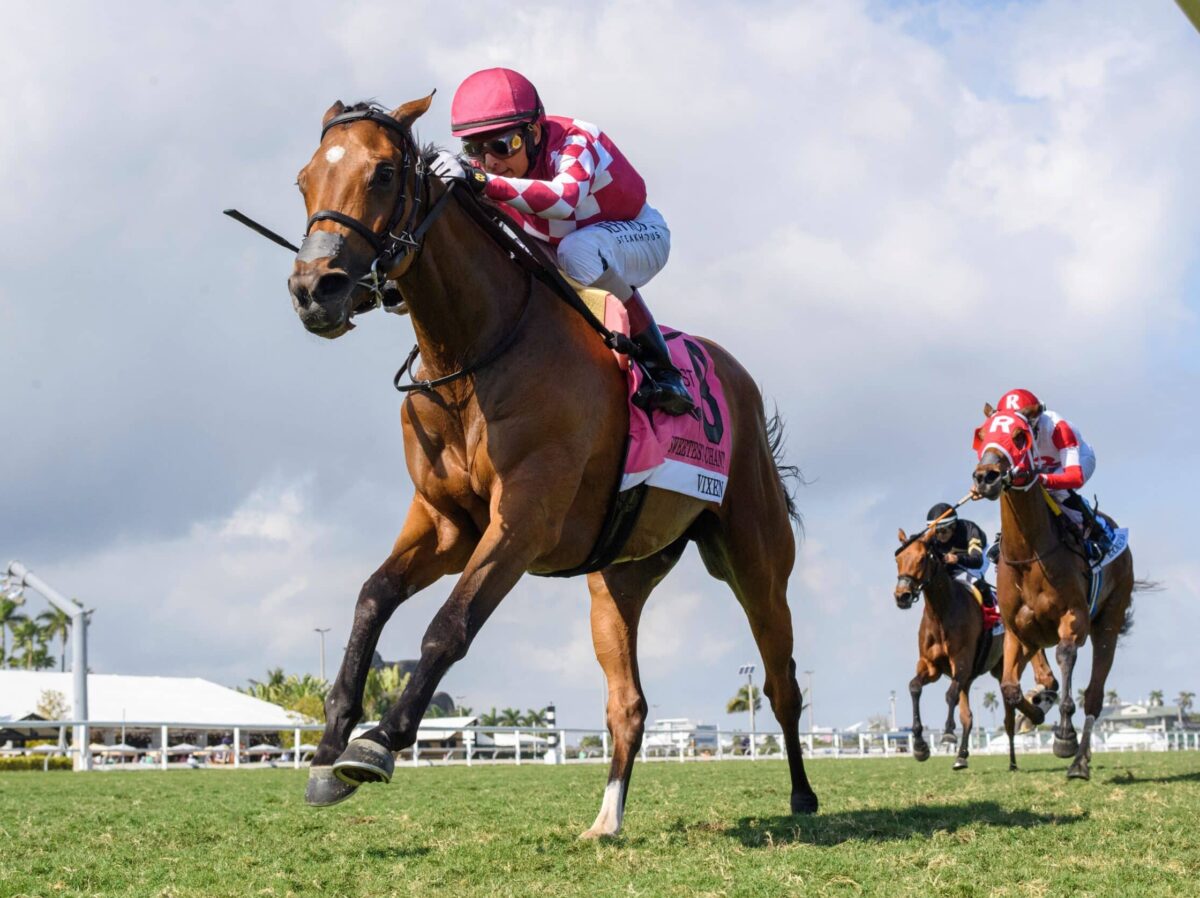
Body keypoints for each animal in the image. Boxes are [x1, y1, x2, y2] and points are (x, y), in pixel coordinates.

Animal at [285, 98, 820, 835]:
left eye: (385, 172)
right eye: (304, 179)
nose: (316, 289)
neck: (474, 354)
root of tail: (736, 376)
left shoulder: (522, 520)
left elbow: (448, 627)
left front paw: (377, 744)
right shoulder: (445, 524)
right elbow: (372, 595)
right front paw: (328, 743)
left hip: (756, 558)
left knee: (780, 680)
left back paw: (803, 796)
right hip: (617, 581)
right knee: (628, 704)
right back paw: (607, 821)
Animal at [892, 530, 1051, 768]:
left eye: (921, 558)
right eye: (898, 559)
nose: (902, 595)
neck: (941, 612)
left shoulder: (962, 663)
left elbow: (950, 695)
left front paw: (948, 733)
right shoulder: (930, 666)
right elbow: (914, 687)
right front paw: (920, 746)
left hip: (1002, 666)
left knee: (1009, 714)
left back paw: (1016, 753)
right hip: (973, 677)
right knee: (970, 716)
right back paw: (961, 756)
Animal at [974, 405, 1132, 777]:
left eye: (1019, 436)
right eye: (983, 433)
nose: (986, 476)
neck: (1028, 552)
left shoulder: (1073, 618)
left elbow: (1066, 656)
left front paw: (1063, 737)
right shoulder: (1017, 630)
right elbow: (1011, 688)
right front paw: (1033, 713)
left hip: (1109, 620)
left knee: (1095, 695)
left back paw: (1079, 761)